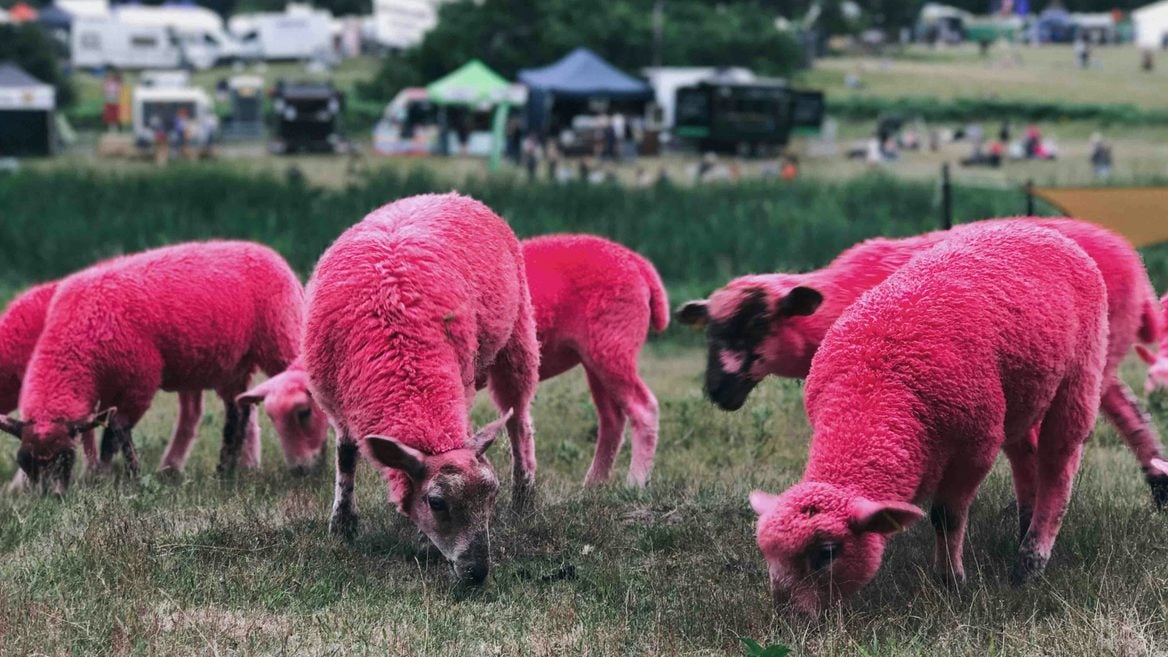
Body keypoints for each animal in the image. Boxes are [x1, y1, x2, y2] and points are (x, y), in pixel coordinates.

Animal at [0, 237, 306, 488]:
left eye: (64, 458)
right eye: (24, 461)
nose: (48, 498)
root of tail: (268, 253)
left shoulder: (141, 378)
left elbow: (116, 430)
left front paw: (123, 477)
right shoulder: (105, 386)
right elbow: (103, 430)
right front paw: (101, 474)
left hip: (280, 338)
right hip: (232, 364)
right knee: (238, 410)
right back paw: (224, 472)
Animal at [301, 190, 537, 582]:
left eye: (491, 495)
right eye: (437, 503)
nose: (477, 572)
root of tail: (449, 194)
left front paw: (424, 543)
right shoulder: (337, 401)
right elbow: (345, 455)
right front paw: (343, 524)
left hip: (518, 335)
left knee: (519, 419)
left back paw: (526, 497)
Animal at [516, 234, 672, 486]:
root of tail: (638, 262)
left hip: (614, 345)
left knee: (644, 409)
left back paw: (634, 483)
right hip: (596, 356)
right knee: (612, 420)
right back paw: (593, 486)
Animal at [682, 217, 1168, 502]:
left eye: (760, 322)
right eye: (710, 329)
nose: (718, 390)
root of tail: (1138, 269)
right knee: (1129, 410)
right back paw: (1158, 483)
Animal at [752, 223, 1107, 612]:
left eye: (827, 552)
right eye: (766, 552)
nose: (788, 615)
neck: (873, 388)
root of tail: (1038, 228)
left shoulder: (976, 446)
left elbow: (945, 515)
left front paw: (950, 580)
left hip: (1080, 372)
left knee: (1058, 463)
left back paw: (1030, 561)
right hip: (1020, 396)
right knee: (1025, 454)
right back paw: (1024, 527)